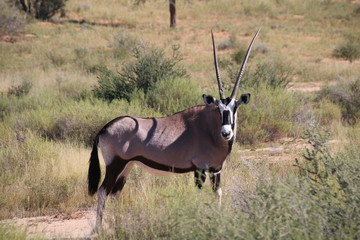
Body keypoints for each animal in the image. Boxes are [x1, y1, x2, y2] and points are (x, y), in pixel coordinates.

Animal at [88, 28, 260, 231]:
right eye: (218, 109)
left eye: (235, 108)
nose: (226, 133)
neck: (209, 129)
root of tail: (104, 128)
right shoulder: (200, 169)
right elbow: (199, 196)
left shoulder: (216, 170)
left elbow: (218, 194)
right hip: (115, 164)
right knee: (103, 191)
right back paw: (99, 229)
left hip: (127, 166)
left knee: (115, 193)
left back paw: (119, 226)